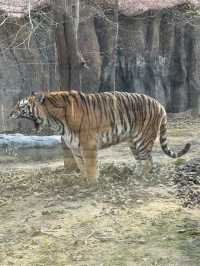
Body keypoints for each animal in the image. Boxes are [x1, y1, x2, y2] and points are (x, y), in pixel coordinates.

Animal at [10, 90, 191, 184]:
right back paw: (134, 175)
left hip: (142, 139)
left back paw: (140, 178)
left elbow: (90, 166)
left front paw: (92, 183)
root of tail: (160, 104)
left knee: (148, 161)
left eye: (20, 105)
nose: (10, 113)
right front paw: (83, 180)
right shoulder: (75, 147)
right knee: (143, 160)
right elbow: (81, 165)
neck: (54, 119)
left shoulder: (88, 145)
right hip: (133, 142)